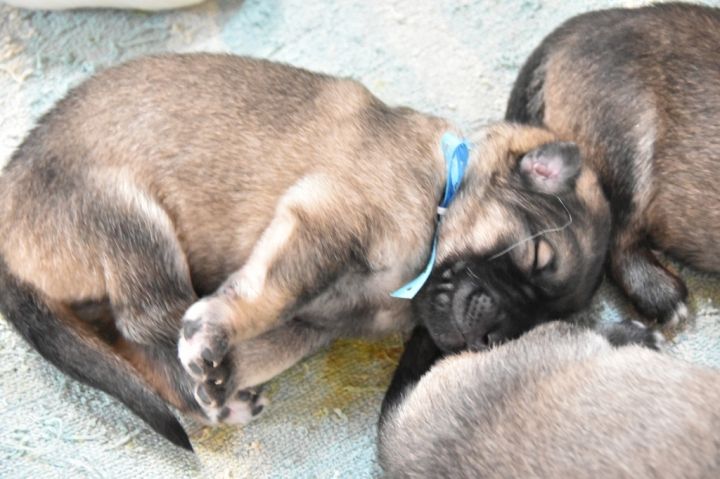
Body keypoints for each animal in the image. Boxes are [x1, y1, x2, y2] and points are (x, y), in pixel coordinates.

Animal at [0, 54, 609, 448]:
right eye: (535, 258)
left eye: (543, 319)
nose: (491, 340)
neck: (443, 189)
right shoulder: (325, 221)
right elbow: (266, 294)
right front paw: (215, 336)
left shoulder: (317, 321)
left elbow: (272, 341)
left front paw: (223, 373)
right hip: (130, 217)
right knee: (144, 322)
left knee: (137, 344)